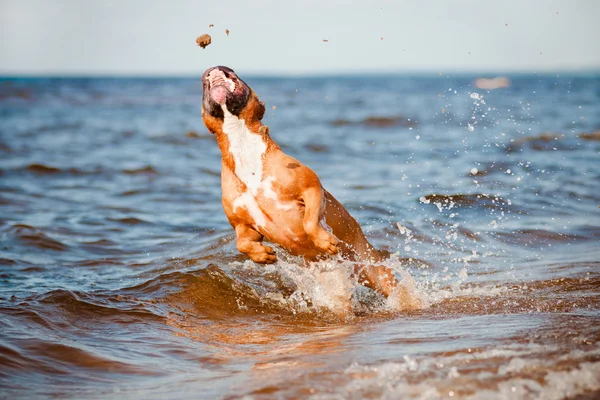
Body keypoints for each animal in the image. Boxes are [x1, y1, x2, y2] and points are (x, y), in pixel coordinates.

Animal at [202, 65, 404, 298]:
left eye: (234, 73)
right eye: (203, 83)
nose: (215, 68)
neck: (243, 145)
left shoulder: (311, 189)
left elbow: (309, 222)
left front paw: (324, 240)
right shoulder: (241, 224)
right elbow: (242, 243)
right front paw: (261, 255)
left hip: (377, 271)